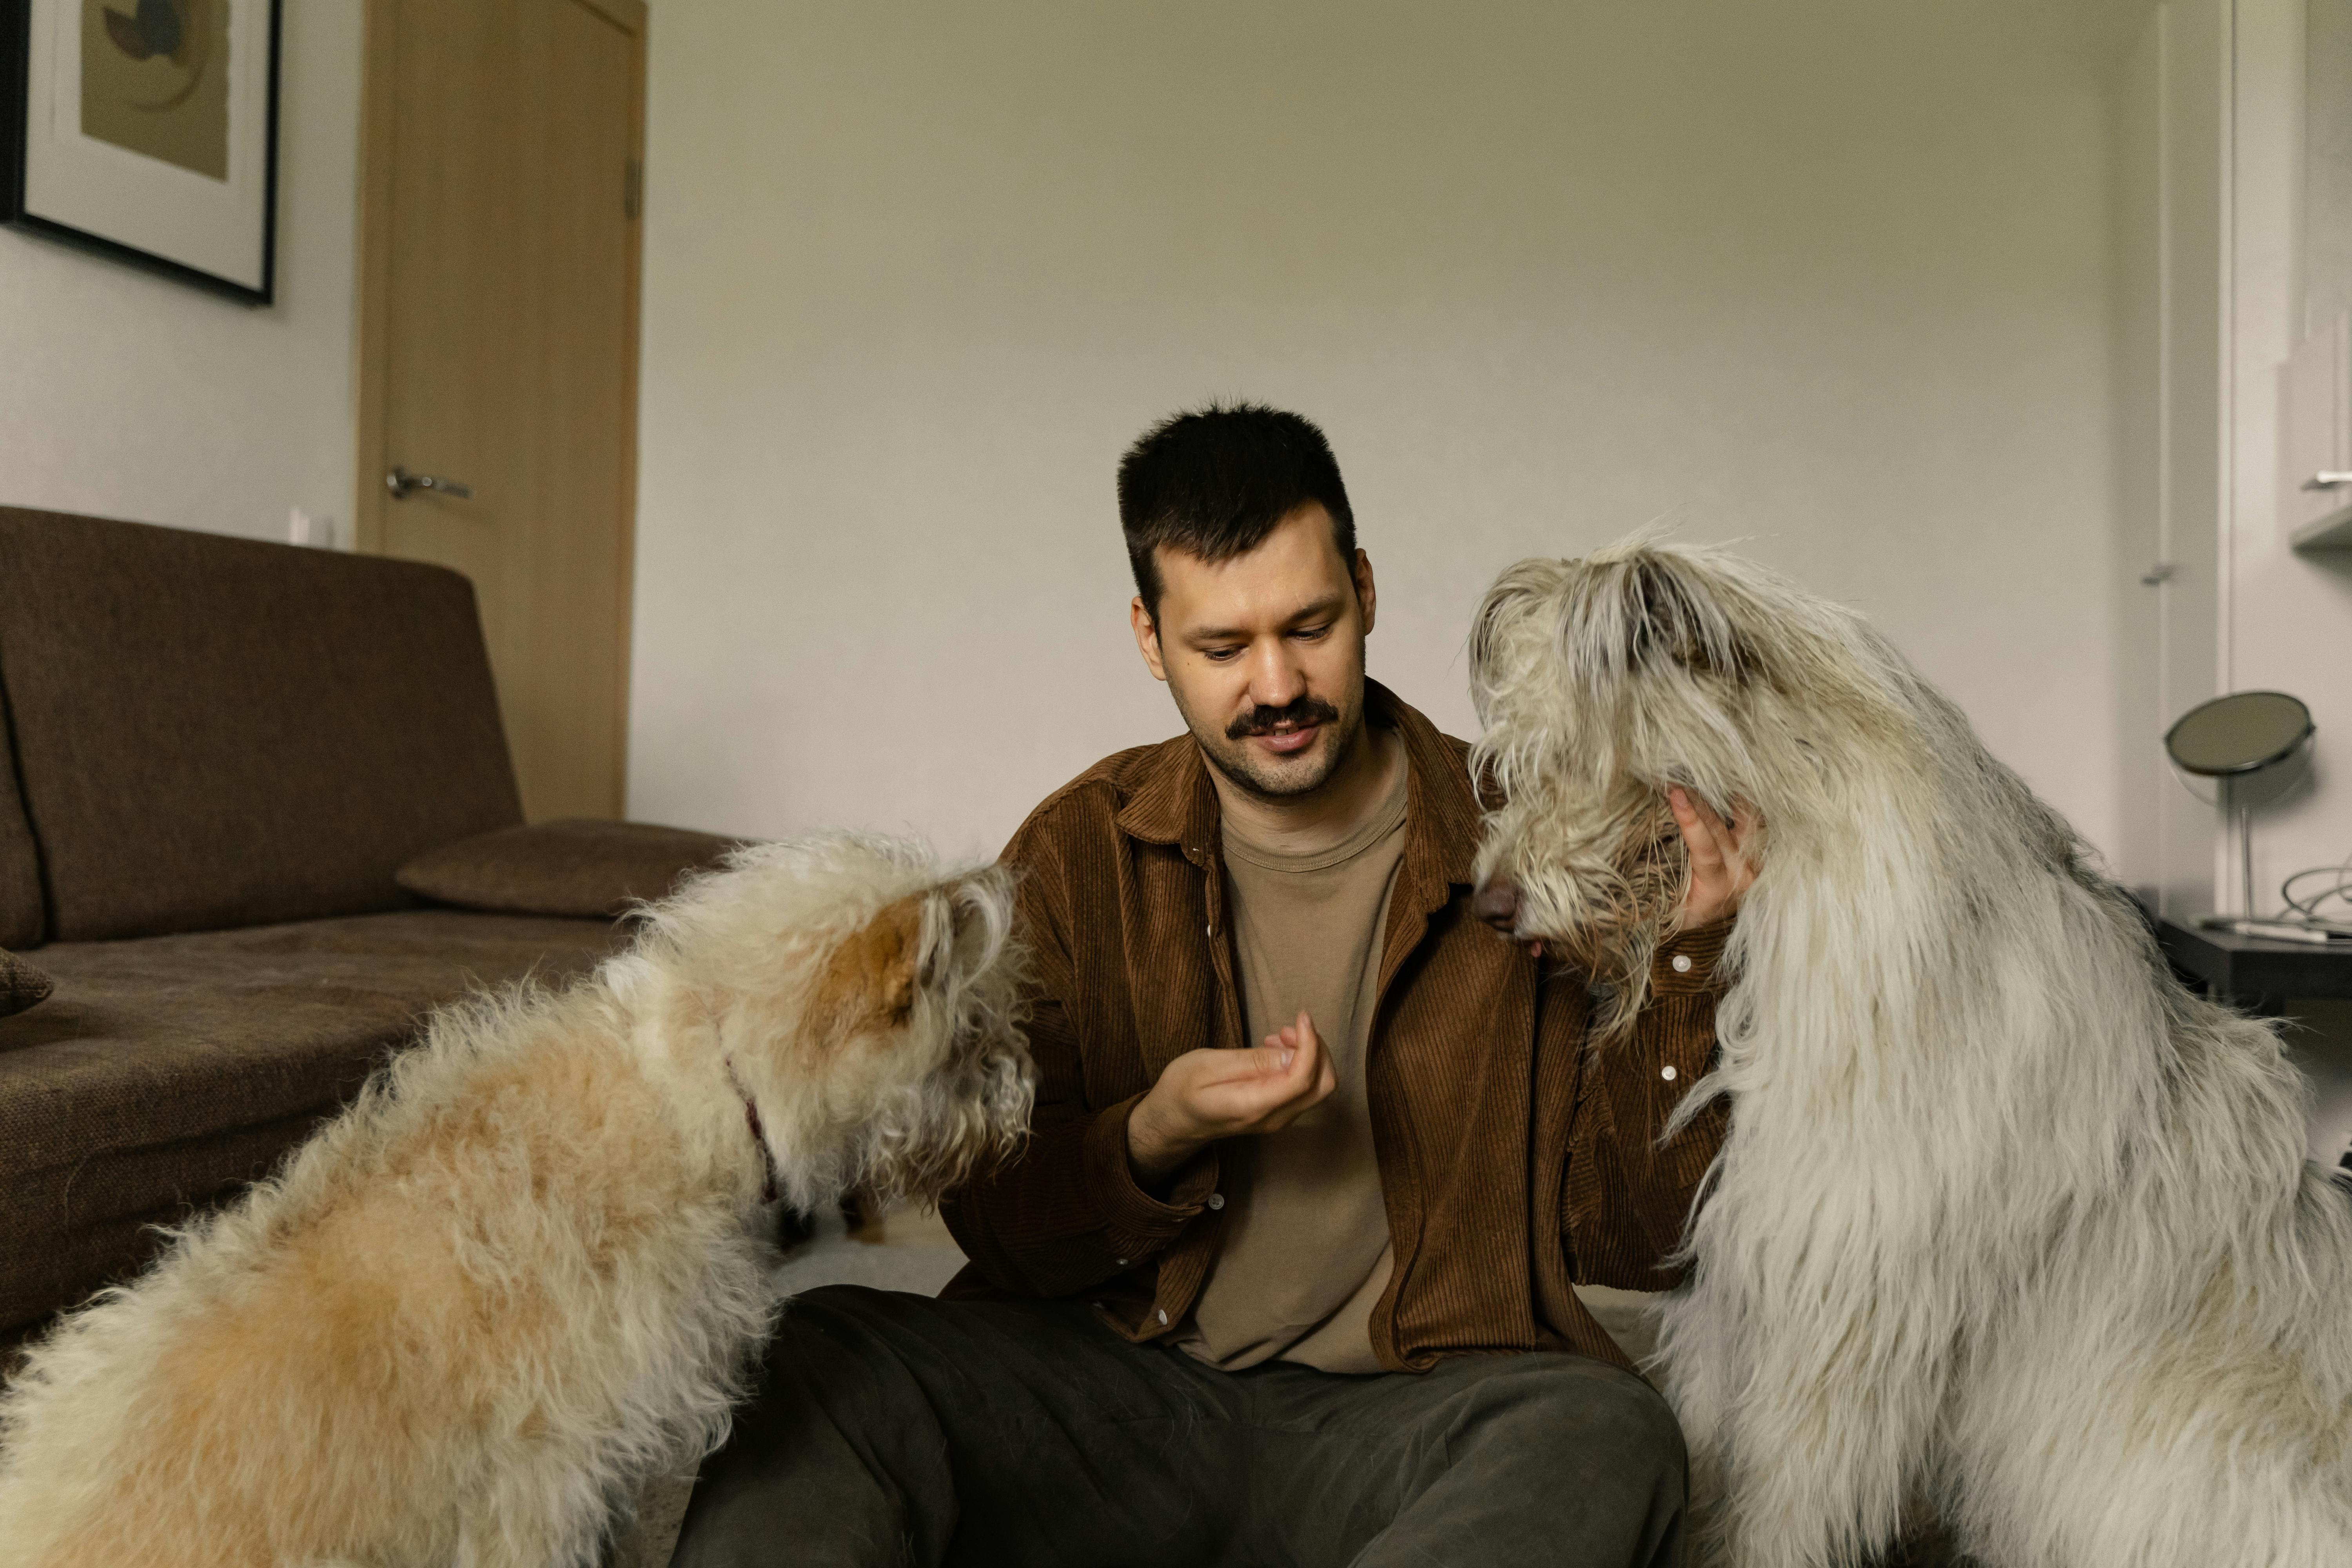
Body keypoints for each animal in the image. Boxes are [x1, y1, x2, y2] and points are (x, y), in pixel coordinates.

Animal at [1468, 543, 2352, 1568]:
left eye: (1573, 759)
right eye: (1512, 767)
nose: (1486, 907)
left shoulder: (1844, 1297)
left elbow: (1781, 1497)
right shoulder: (1741, 1270)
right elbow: (1711, 1441)